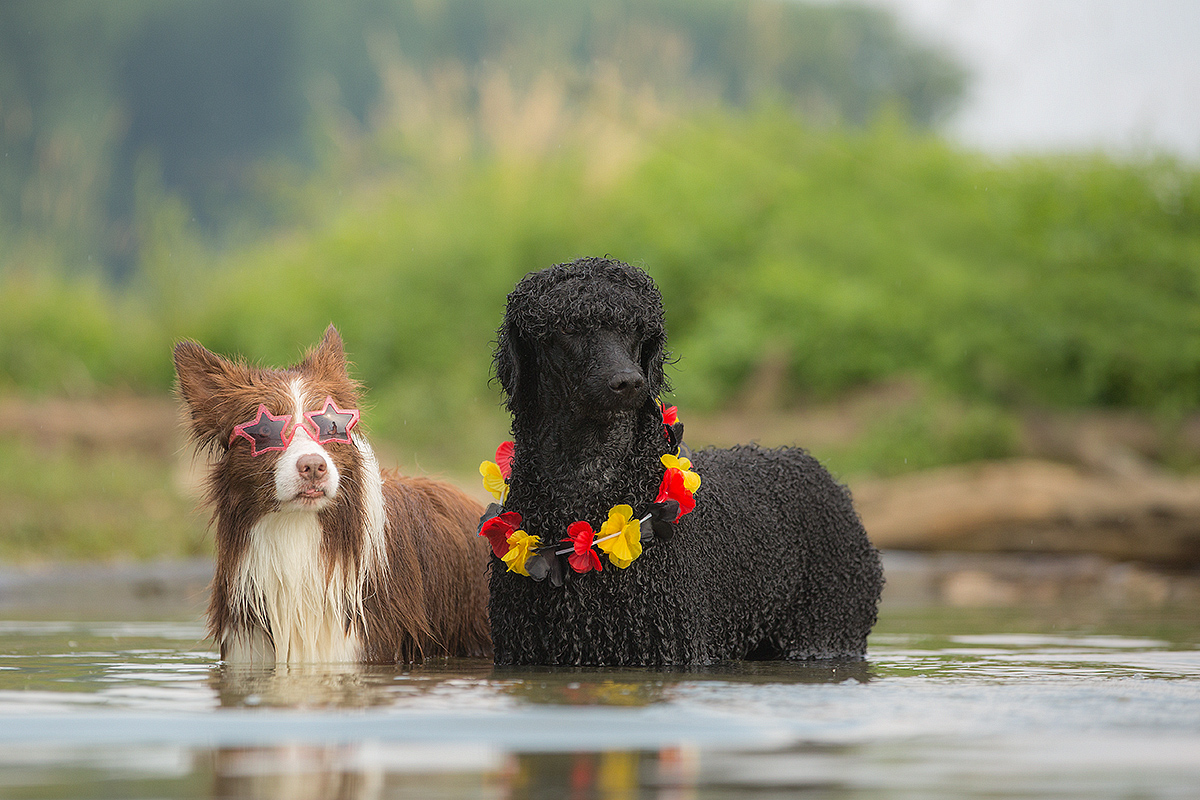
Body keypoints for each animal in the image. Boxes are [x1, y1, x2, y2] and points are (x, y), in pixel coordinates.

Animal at [482, 255, 888, 662]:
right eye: (567, 328)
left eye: (637, 330)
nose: (629, 382)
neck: (590, 475)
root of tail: (821, 471)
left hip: (825, 635)